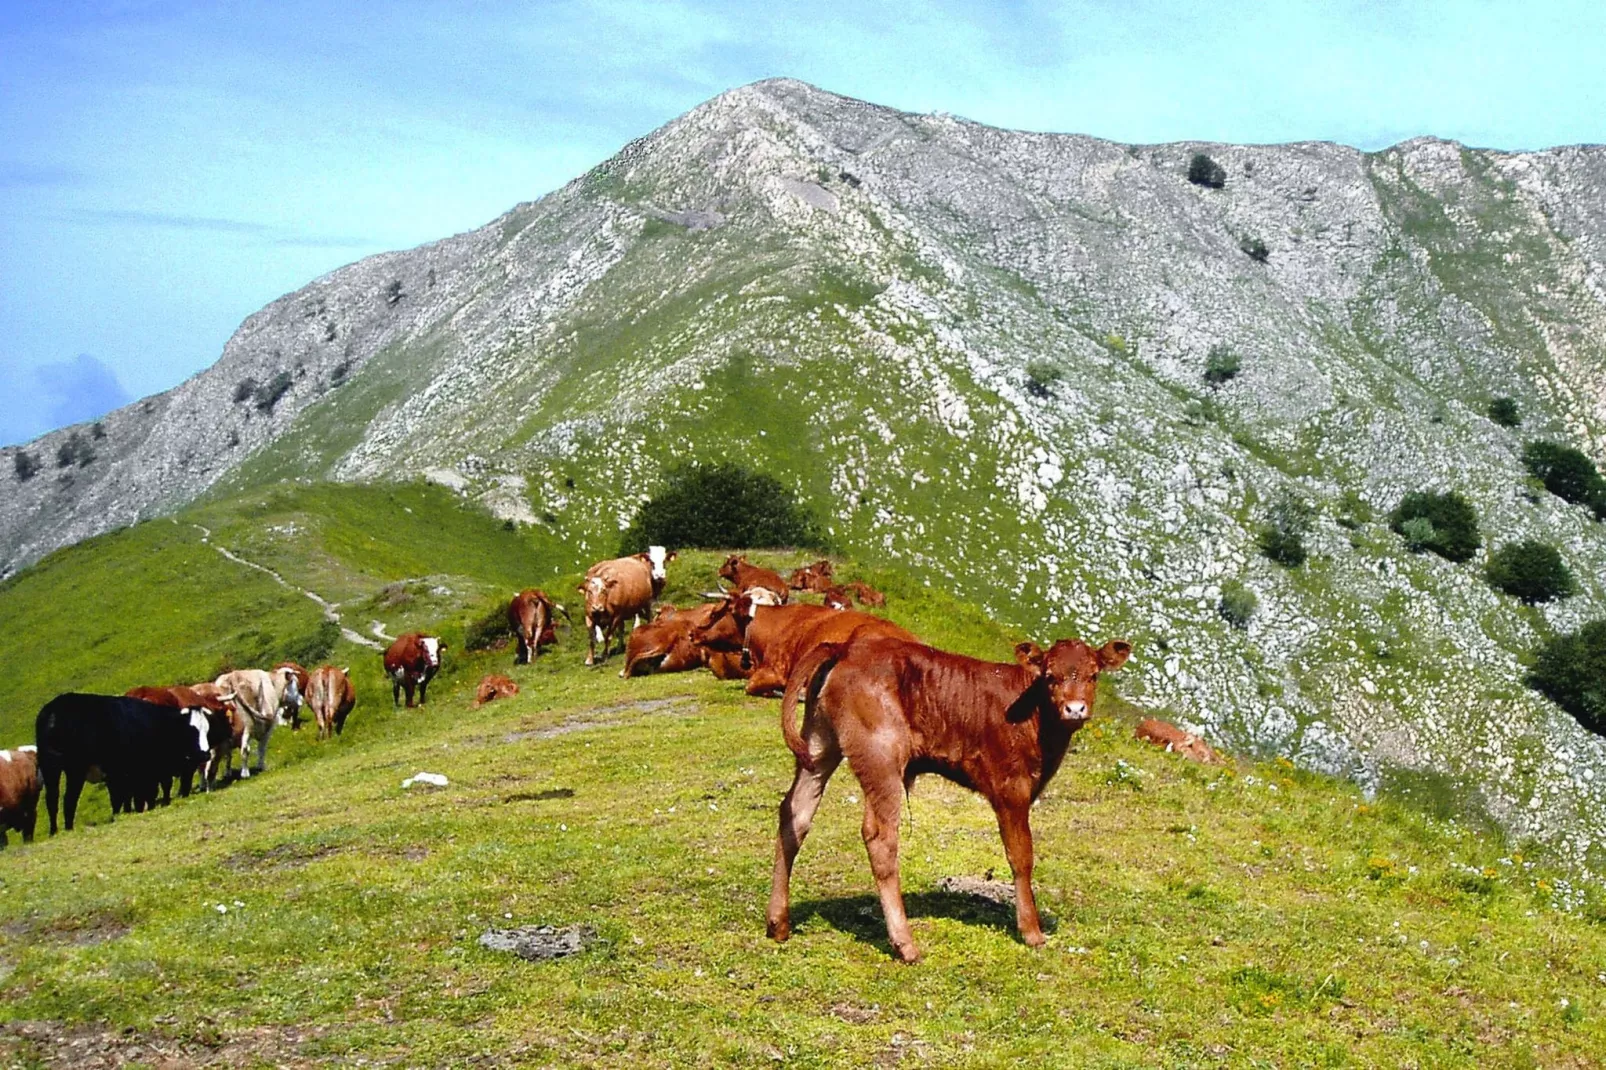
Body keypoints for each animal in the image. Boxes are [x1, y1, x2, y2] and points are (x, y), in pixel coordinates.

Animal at [35, 690, 211, 835]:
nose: (205, 754)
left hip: (49, 765)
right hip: (75, 769)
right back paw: (69, 828)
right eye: (191, 730)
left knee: (52, 798)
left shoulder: (122, 774)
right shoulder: (139, 772)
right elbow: (139, 795)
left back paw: (54, 831)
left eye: (207, 729)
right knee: (69, 799)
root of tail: (54, 709)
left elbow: (124, 797)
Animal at [774, 629, 1130, 963]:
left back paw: (777, 923)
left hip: (819, 743)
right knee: (880, 836)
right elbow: (1021, 856)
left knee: (795, 813)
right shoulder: (1011, 788)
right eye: (1050, 676)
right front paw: (1032, 931)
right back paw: (905, 944)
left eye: (1094, 674)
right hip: (881, 753)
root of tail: (847, 646)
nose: (1075, 709)